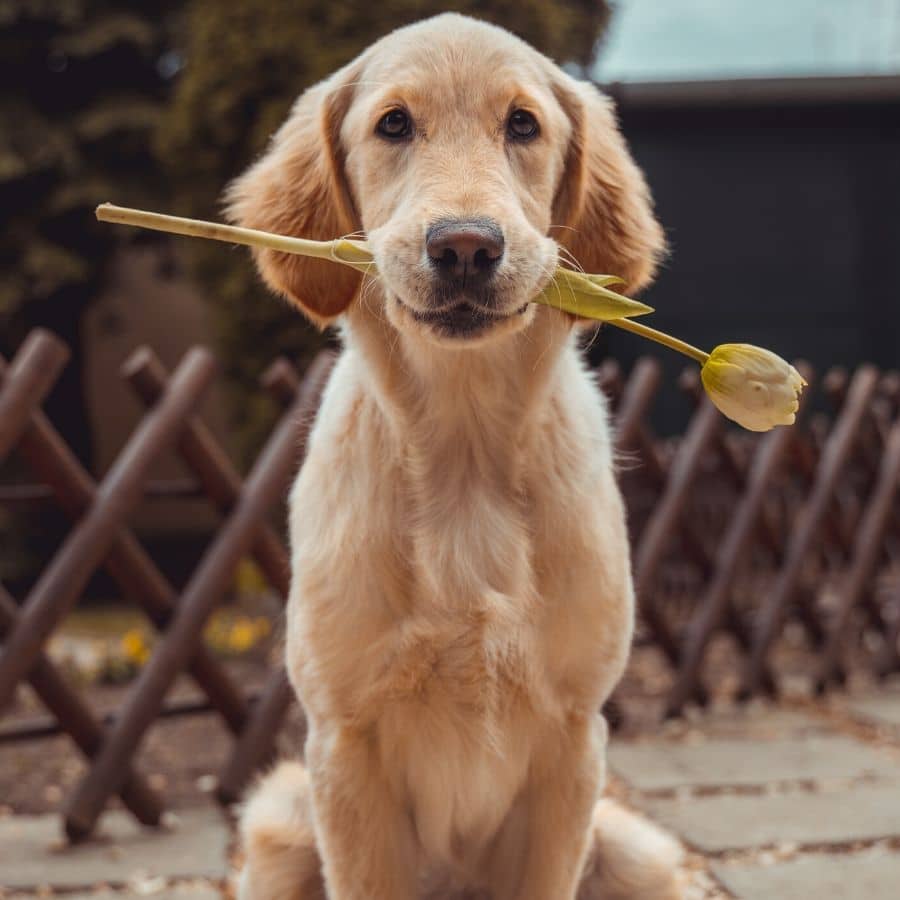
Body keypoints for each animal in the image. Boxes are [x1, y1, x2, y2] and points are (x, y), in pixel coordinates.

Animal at [230, 14, 684, 900]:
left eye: (523, 125)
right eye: (394, 125)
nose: (467, 247)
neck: (465, 450)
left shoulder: (574, 740)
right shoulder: (343, 741)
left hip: (640, 851)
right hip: (277, 820)